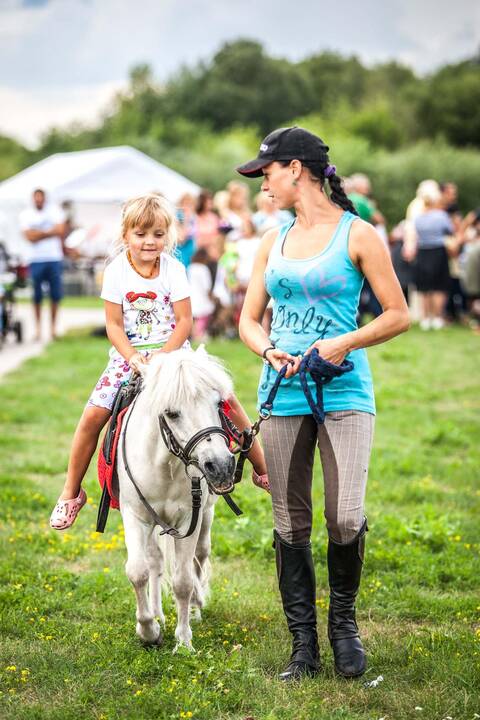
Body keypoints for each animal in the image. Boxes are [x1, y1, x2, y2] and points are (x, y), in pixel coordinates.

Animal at [117, 346, 235, 648]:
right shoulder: (135, 516)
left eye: (219, 403)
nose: (221, 466)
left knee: (200, 556)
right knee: (155, 561)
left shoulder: (188, 520)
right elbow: (137, 571)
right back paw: (158, 613)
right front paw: (148, 630)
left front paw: (183, 641)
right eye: (171, 413)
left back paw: (195, 607)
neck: (165, 463)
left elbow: (183, 580)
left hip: (206, 515)